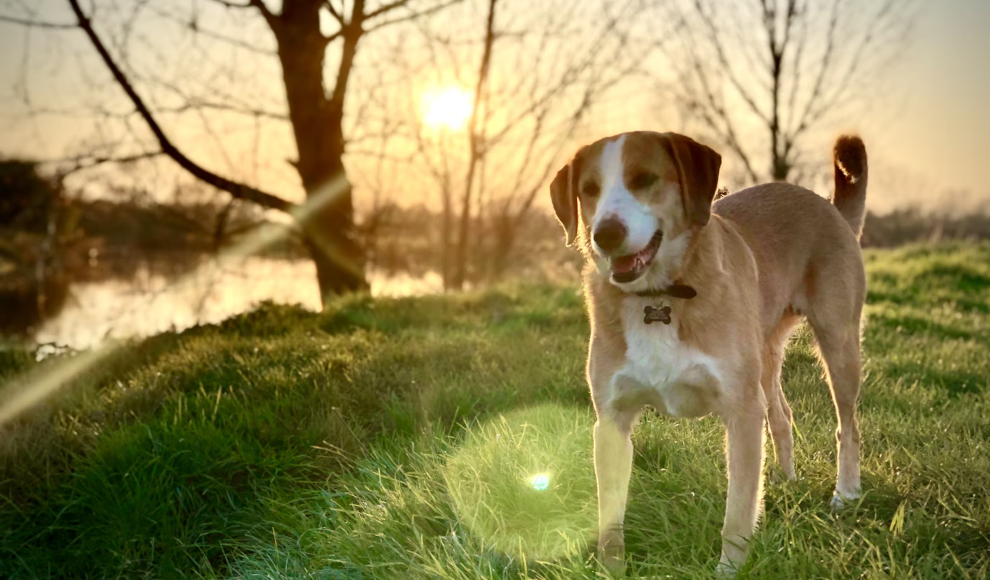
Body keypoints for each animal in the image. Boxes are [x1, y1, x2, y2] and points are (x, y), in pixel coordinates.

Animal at [552, 133, 868, 576]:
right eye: (589, 189)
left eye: (644, 179)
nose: (606, 234)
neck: (659, 296)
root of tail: (828, 205)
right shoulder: (611, 423)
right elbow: (609, 521)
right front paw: (610, 571)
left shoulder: (742, 412)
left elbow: (737, 514)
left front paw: (729, 570)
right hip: (765, 359)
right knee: (782, 417)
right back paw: (787, 481)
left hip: (837, 345)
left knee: (848, 427)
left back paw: (846, 493)